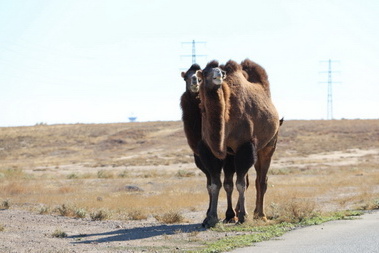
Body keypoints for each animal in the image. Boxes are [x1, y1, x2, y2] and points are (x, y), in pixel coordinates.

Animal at [197, 59, 280, 227]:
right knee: (244, 180)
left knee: (261, 180)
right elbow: (215, 184)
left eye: (221, 71)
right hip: (235, 153)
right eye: (205, 73)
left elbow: (241, 184)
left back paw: (260, 215)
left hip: (268, 145)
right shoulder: (210, 150)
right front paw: (211, 218)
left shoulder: (245, 146)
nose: (219, 74)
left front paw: (243, 216)